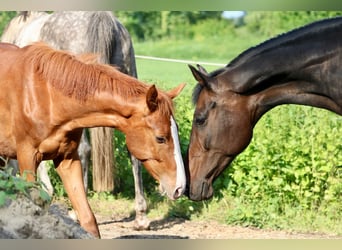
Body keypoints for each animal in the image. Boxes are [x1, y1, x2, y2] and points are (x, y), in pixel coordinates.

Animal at [0, 42, 187, 237]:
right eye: (160, 138)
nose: (180, 187)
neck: (46, 96)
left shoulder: (67, 160)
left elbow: (88, 219)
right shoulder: (27, 158)